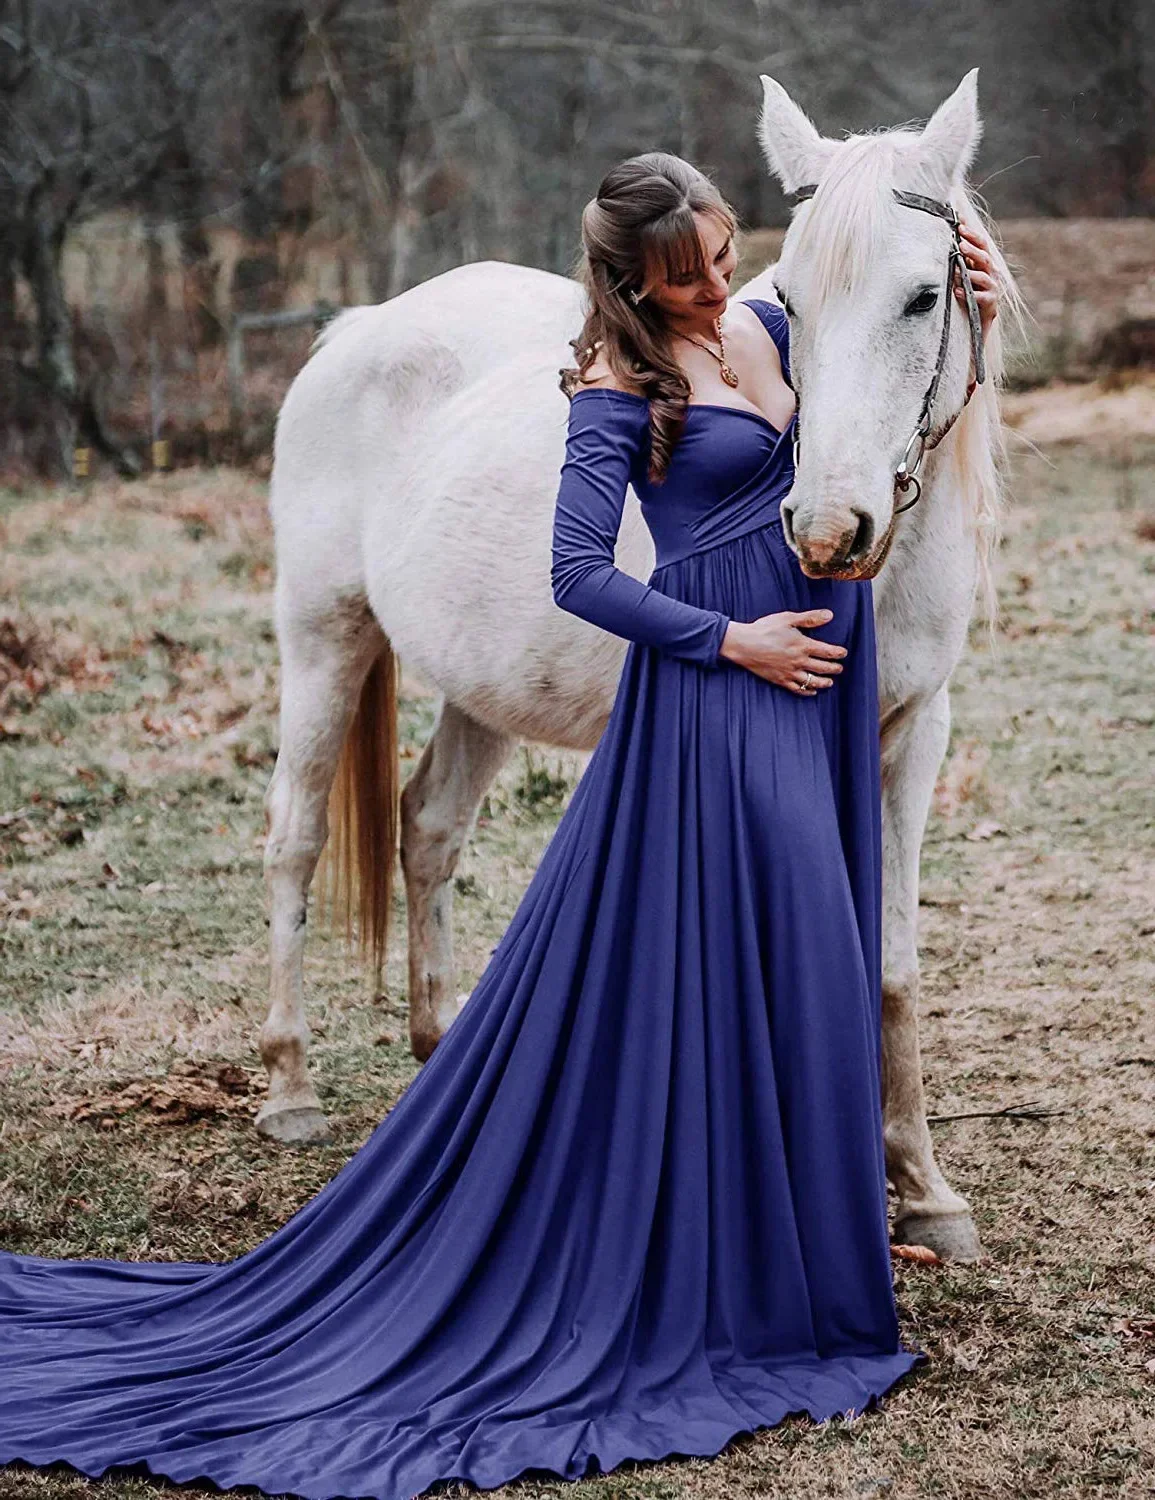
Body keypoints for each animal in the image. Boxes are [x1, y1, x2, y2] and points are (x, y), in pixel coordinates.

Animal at [258, 73, 1008, 1266]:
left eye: (925, 296)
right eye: (789, 301)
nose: (827, 528)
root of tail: (358, 330)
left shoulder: (913, 737)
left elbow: (890, 964)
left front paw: (924, 1191)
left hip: (480, 687)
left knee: (428, 829)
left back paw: (438, 1054)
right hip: (324, 638)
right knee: (294, 837)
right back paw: (288, 1086)